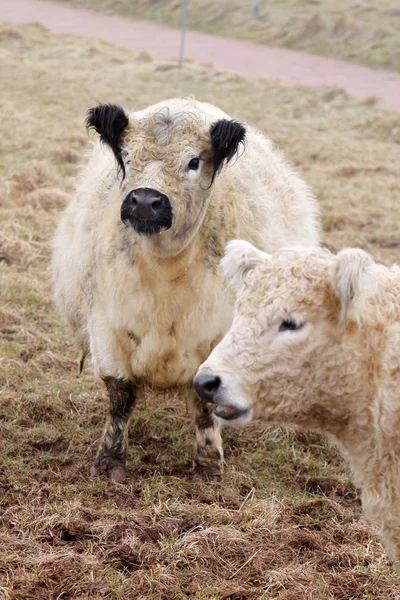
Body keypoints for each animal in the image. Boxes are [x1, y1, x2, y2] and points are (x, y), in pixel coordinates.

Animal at [51, 98, 318, 482]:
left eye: (193, 161)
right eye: (127, 156)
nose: (145, 201)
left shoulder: (216, 339)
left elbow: (205, 403)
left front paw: (208, 464)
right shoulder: (107, 327)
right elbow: (120, 398)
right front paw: (111, 460)